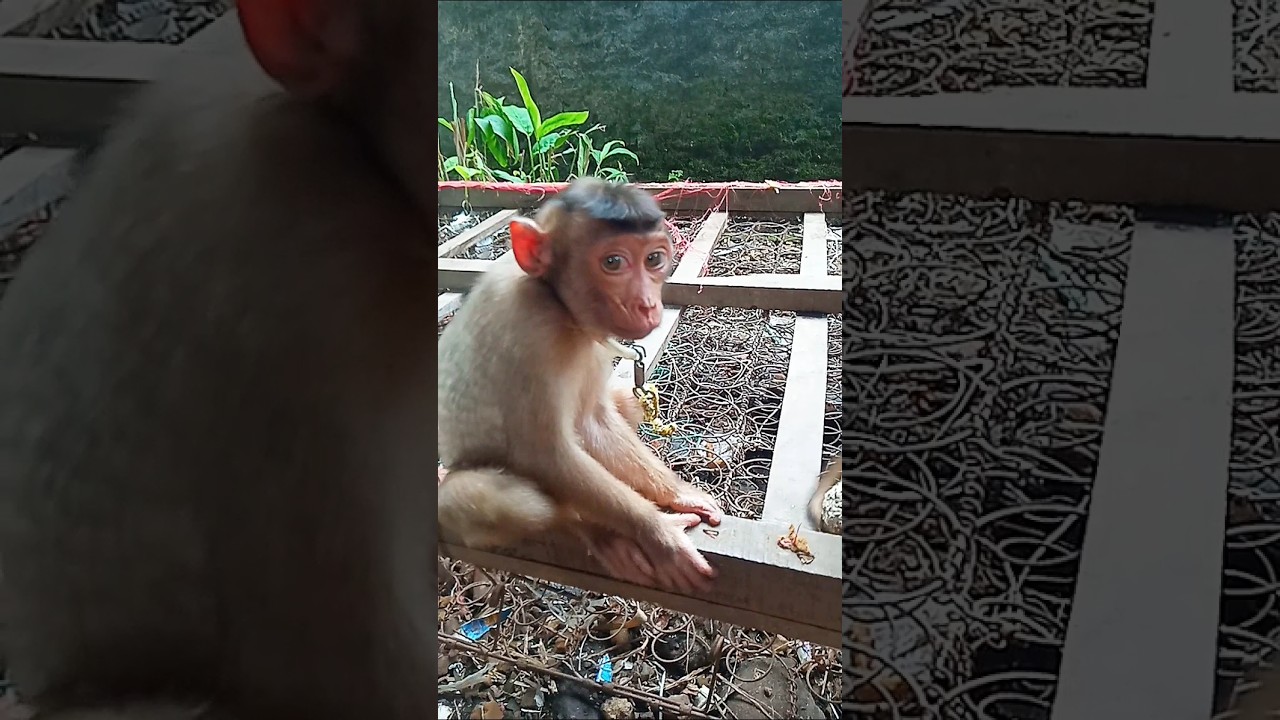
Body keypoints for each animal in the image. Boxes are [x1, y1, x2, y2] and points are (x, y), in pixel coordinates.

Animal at [437, 178, 725, 596]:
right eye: (613, 263)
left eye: (654, 259)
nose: (647, 305)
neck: (555, 300)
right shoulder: (531, 330)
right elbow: (545, 454)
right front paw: (657, 532)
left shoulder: (592, 340)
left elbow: (593, 423)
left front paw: (677, 495)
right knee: (482, 495)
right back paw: (589, 527)